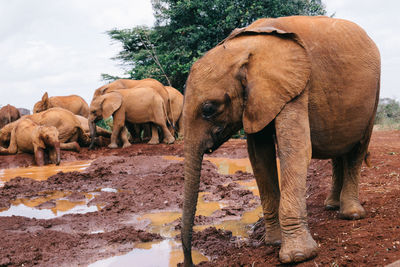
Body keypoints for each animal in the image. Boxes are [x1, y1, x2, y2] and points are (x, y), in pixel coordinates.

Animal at [181, 16, 382, 266]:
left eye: (208, 109)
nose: (189, 262)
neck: (246, 49)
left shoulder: (296, 86)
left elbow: (295, 150)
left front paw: (298, 256)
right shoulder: (258, 98)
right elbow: (259, 156)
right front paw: (274, 243)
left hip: (374, 96)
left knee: (357, 150)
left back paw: (351, 214)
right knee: (338, 151)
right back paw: (331, 205)